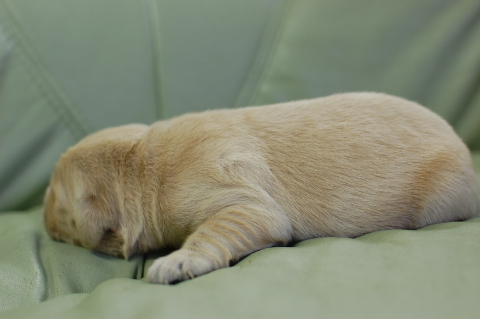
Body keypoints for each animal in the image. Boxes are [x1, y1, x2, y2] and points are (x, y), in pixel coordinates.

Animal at [43, 92, 478, 284]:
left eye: (57, 202)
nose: (42, 219)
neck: (139, 162)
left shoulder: (239, 201)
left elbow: (213, 231)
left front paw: (178, 262)